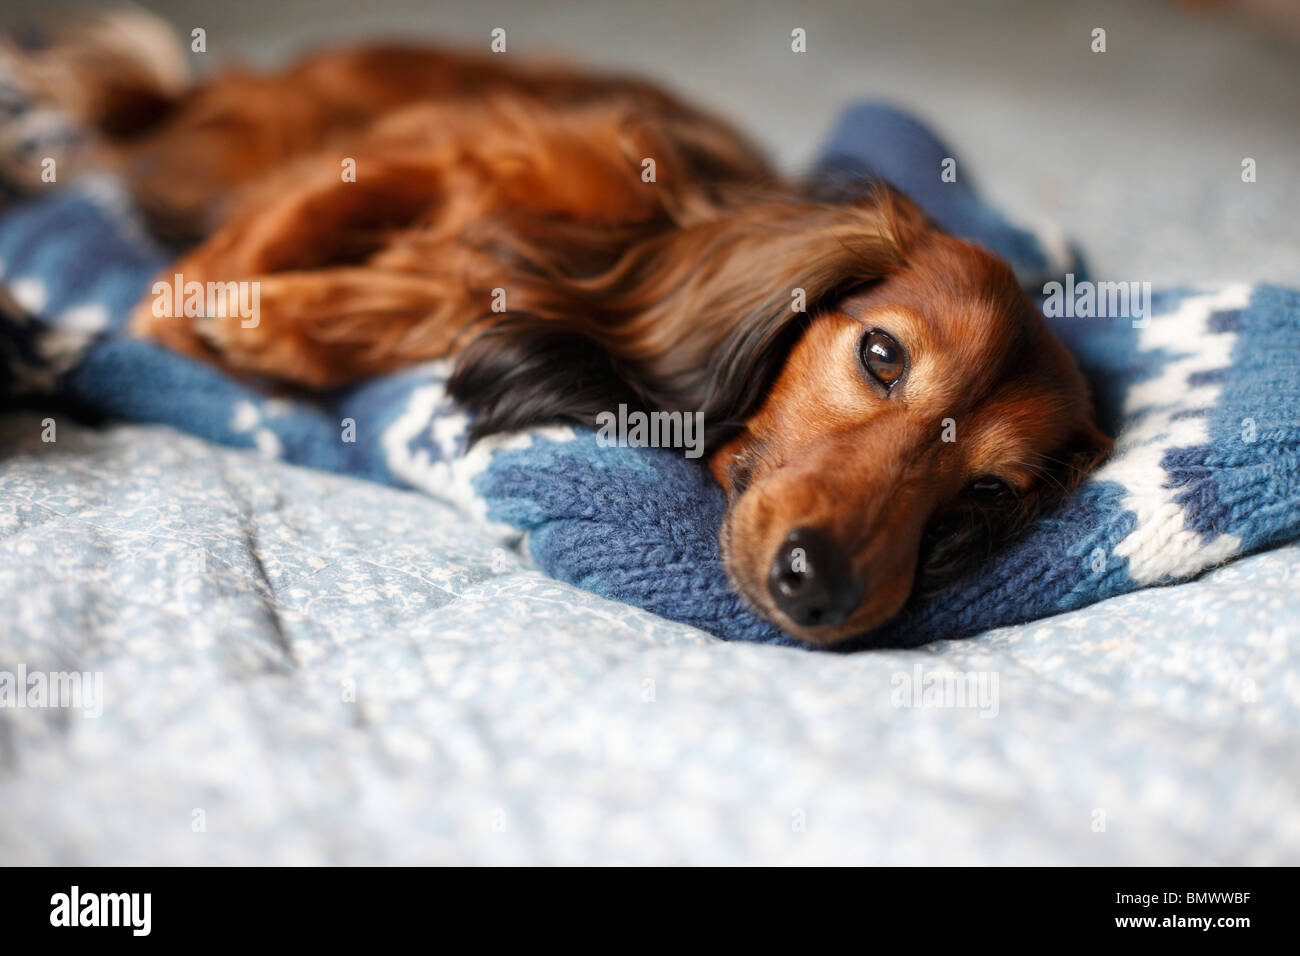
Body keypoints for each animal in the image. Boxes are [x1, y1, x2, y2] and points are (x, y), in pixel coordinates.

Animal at [7, 13, 1107, 642]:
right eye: (881, 354)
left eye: (987, 493)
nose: (821, 590)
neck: (612, 255)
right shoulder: (433, 147)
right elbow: (272, 236)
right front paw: (198, 307)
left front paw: (283, 324)